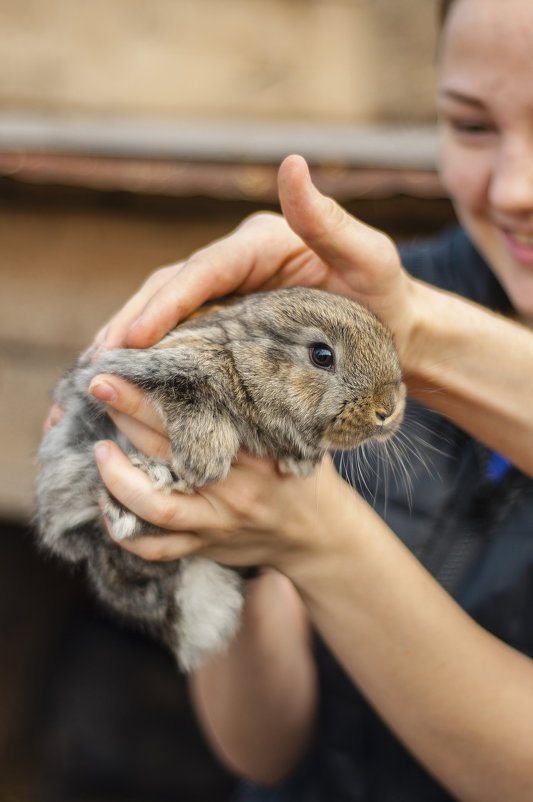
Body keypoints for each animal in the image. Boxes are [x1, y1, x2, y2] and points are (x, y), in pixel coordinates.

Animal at [36, 288, 404, 668]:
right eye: (322, 356)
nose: (388, 409)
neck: (243, 361)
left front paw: (299, 464)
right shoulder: (147, 366)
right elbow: (190, 385)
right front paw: (206, 459)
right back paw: (141, 492)